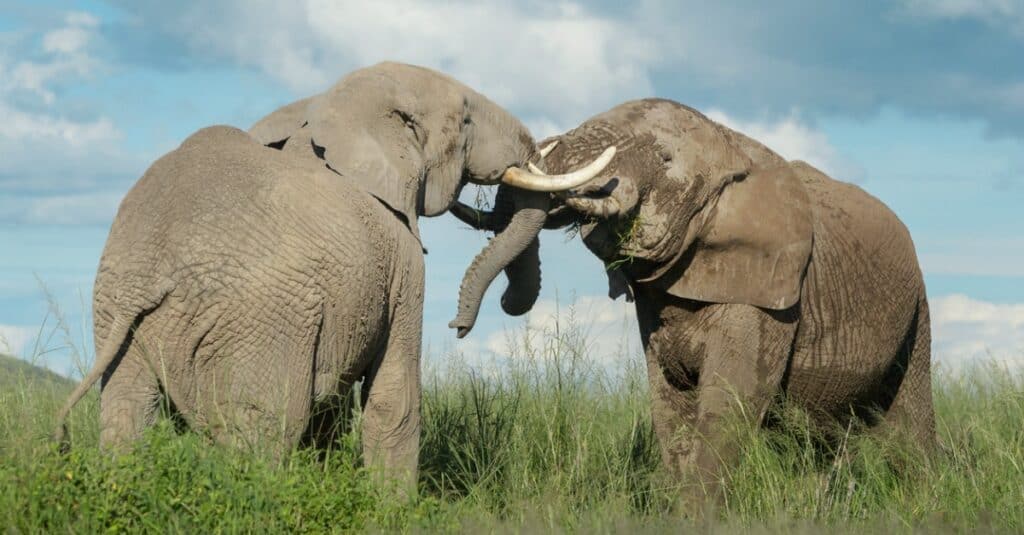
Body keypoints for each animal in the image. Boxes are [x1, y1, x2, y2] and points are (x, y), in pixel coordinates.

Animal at [51, 62, 610, 487]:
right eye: (468, 118)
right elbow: (393, 398)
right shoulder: (403, 263)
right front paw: (393, 512)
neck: (338, 103)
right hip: (261, 323)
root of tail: (151, 268)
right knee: (262, 427)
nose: (460, 326)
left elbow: (332, 411)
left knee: (127, 416)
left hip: (116, 315)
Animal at [456, 97, 937, 510]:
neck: (733, 148)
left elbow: (731, 402)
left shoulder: (767, 293)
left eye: (666, 160)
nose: (458, 328)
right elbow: (668, 402)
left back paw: (924, 499)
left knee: (907, 424)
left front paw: (694, 516)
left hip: (917, 307)